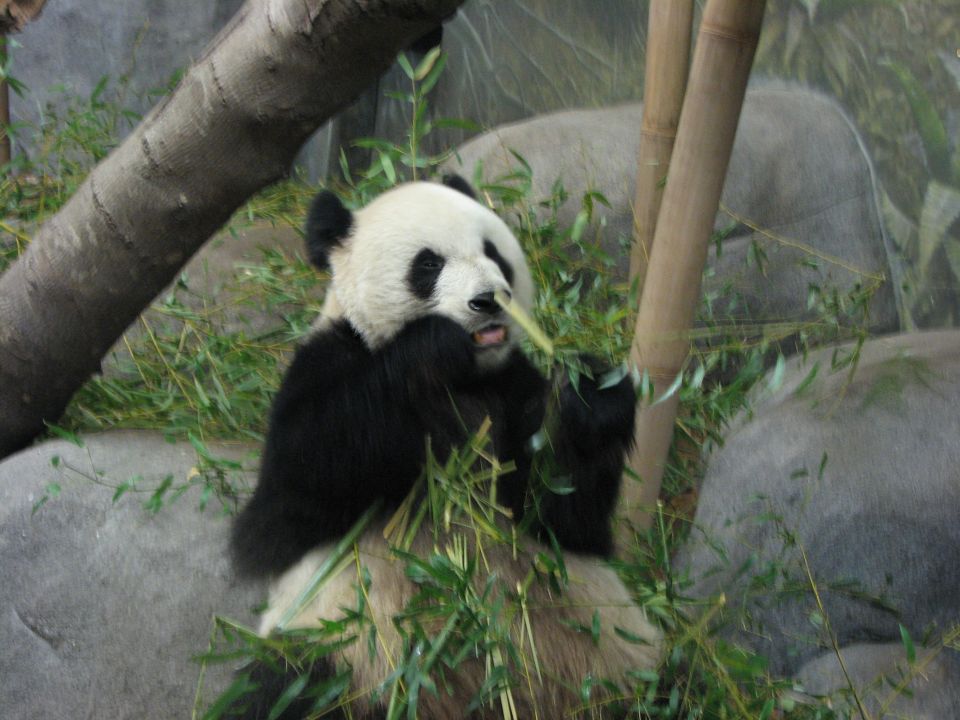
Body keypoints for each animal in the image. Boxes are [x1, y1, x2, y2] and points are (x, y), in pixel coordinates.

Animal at [229, 176, 661, 719]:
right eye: (428, 265)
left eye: (493, 252)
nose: (489, 300)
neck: (467, 381)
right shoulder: (327, 362)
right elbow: (288, 501)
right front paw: (431, 347)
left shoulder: (511, 389)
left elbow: (566, 518)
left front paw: (592, 391)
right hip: (347, 652)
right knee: (285, 688)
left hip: (612, 656)